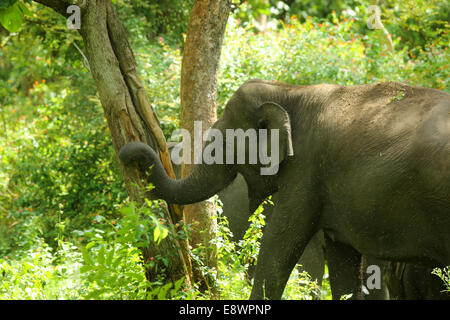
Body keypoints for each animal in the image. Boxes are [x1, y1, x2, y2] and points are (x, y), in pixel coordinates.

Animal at [119, 80, 450, 300]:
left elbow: (278, 245)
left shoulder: (306, 170)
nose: (129, 154)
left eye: (221, 143)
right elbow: (342, 261)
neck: (290, 90)